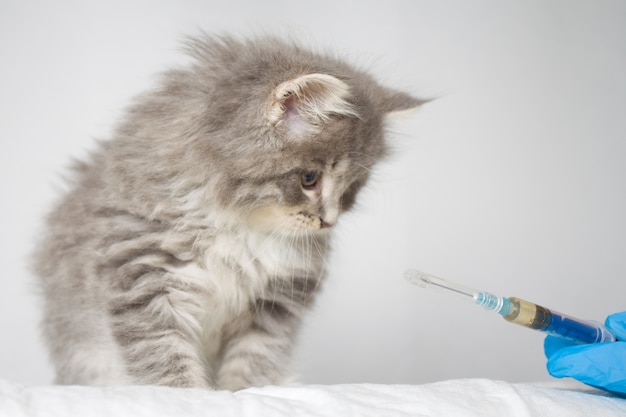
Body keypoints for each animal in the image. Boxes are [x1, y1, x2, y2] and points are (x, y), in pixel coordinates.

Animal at [35, 33, 424, 390]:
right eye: (309, 179)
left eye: (351, 189)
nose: (329, 220)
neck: (240, 227)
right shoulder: (143, 274)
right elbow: (164, 361)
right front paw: (189, 397)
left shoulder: (276, 301)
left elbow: (253, 362)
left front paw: (245, 394)